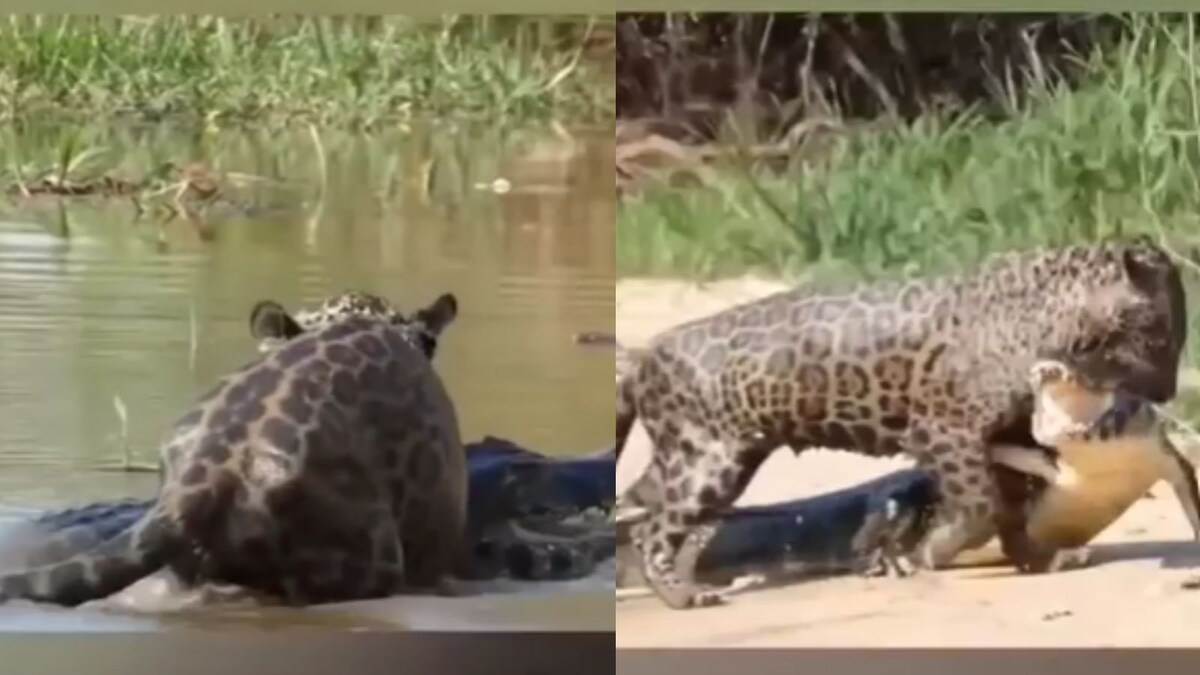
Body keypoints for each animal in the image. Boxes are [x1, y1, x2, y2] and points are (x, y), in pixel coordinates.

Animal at [615, 238, 1188, 610]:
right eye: (1162, 336)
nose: (1168, 393)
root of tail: (644, 357)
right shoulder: (947, 430)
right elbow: (981, 504)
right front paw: (933, 548)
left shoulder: (1002, 435)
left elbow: (1009, 509)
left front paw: (1038, 558)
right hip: (708, 462)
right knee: (654, 528)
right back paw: (683, 595)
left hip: (697, 458)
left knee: (642, 509)